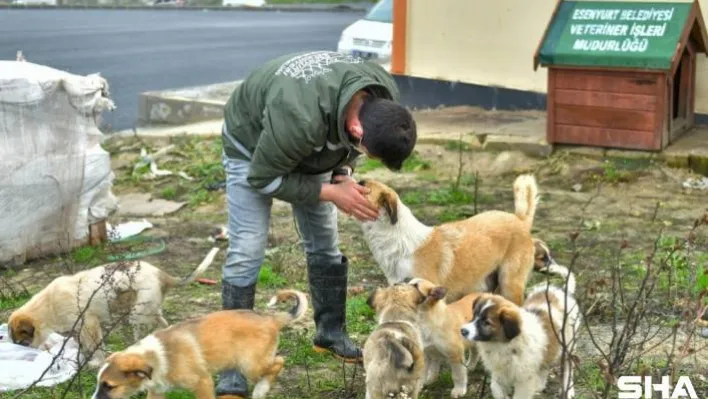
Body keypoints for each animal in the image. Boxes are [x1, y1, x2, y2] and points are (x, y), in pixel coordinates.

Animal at [8, 248, 218, 370]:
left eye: (21, 340)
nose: (21, 350)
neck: (47, 305)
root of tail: (162, 274)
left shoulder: (89, 323)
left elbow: (95, 346)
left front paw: (96, 362)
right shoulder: (85, 327)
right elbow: (90, 345)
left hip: (136, 315)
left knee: (142, 333)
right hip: (150, 309)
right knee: (163, 324)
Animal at [90, 290, 306, 399]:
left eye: (109, 386)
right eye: (99, 383)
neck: (159, 357)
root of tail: (271, 318)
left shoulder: (202, 382)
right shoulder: (157, 391)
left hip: (251, 365)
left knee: (279, 361)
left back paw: (261, 390)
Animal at [460, 260, 580, 399]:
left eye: (486, 323)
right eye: (474, 316)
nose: (462, 330)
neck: (502, 345)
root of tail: (563, 291)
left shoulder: (524, 379)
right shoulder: (499, 374)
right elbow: (496, 389)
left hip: (568, 345)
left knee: (568, 366)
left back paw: (568, 390)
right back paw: (540, 385)